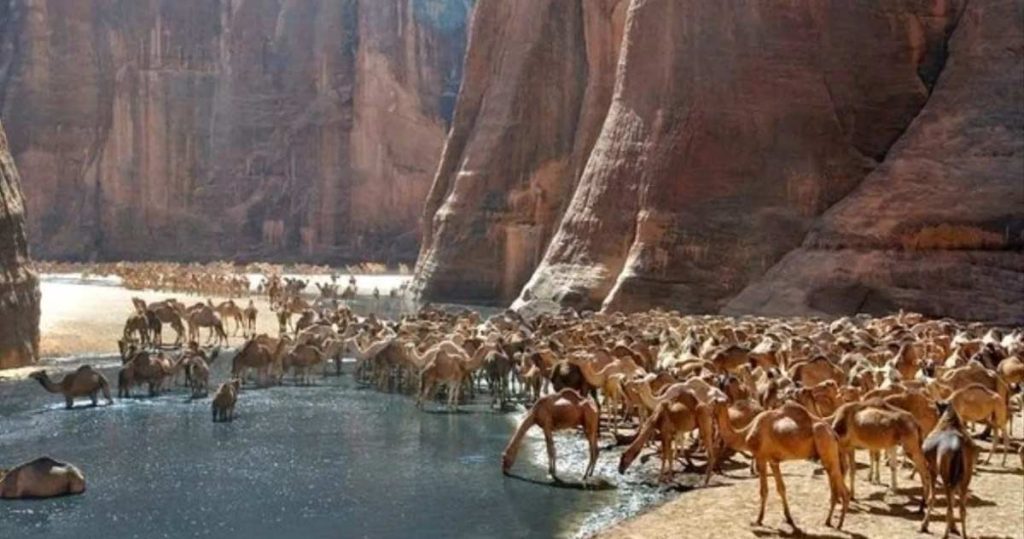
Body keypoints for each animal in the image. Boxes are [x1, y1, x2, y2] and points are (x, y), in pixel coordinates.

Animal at [712, 401, 847, 532]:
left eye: (712, 405)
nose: (711, 417)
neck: (745, 434)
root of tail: (833, 433)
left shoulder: (761, 457)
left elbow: (763, 490)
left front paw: (758, 520)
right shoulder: (773, 461)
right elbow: (781, 488)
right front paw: (789, 519)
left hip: (825, 445)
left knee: (842, 489)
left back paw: (839, 524)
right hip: (830, 454)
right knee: (836, 486)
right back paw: (828, 521)